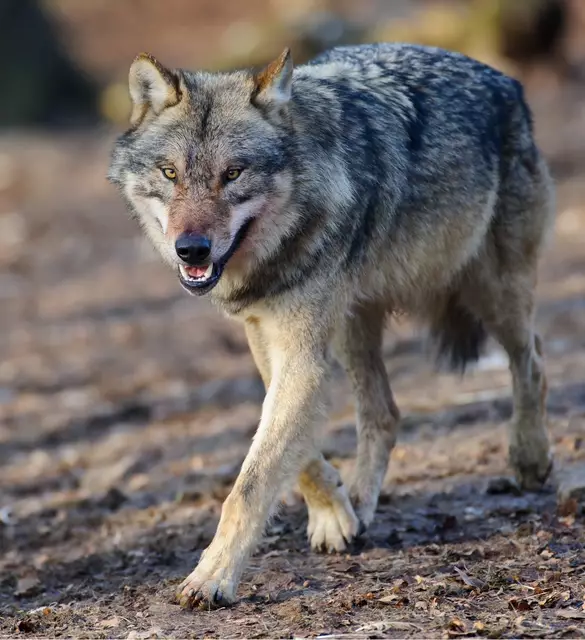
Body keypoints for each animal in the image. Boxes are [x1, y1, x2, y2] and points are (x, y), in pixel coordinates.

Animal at [108, 43, 555, 609]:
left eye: (233, 174)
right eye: (169, 173)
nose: (191, 250)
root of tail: (505, 80)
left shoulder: (301, 351)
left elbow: (250, 484)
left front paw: (211, 578)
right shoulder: (266, 336)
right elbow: (292, 454)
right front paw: (333, 514)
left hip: (493, 295)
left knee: (532, 359)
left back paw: (529, 459)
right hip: (353, 328)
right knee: (385, 412)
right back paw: (361, 504)